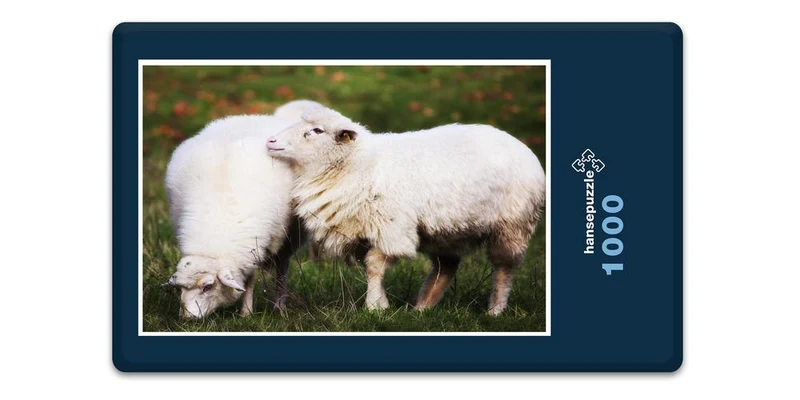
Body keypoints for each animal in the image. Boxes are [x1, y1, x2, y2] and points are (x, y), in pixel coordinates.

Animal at [164, 100, 323, 318]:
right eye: (181, 289)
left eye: (208, 287)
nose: (187, 318)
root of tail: (254, 117)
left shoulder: (256, 245)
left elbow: (250, 280)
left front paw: (246, 313)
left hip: (289, 236)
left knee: (282, 266)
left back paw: (279, 306)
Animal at [266, 107, 546, 316]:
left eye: (316, 131)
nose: (271, 141)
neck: (357, 165)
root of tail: (518, 143)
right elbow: (371, 266)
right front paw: (380, 304)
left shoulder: (391, 227)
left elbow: (373, 268)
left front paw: (374, 307)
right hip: (446, 230)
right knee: (446, 267)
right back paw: (422, 308)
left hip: (512, 224)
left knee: (504, 268)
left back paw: (495, 310)